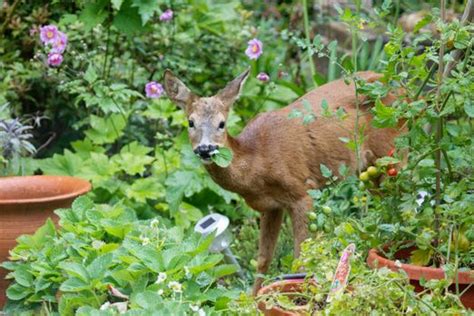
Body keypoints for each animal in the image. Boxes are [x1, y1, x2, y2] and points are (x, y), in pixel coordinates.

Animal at [163, 68, 404, 294]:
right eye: (190, 122)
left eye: (221, 123)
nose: (205, 149)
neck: (257, 164)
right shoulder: (270, 206)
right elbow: (263, 259)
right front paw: (253, 299)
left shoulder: (302, 193)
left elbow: (300, 257)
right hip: (370, 171)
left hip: (393, 152)